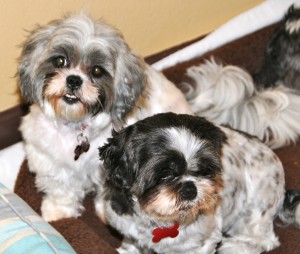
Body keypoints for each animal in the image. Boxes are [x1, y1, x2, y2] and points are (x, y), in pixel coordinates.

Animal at [18, 13, 192, 221]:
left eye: (97, 71)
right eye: (60, 61)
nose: (74, 80)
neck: (76, 124)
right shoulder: (48, 157)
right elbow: (60, 188)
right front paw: (59, 211)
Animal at [99, 113, 300, 254]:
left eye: (204, 169)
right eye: (164, 174)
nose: (190, 189)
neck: (160, 221)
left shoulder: (204, 241)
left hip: (256, 209)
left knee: (264, 238)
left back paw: (235, 247)